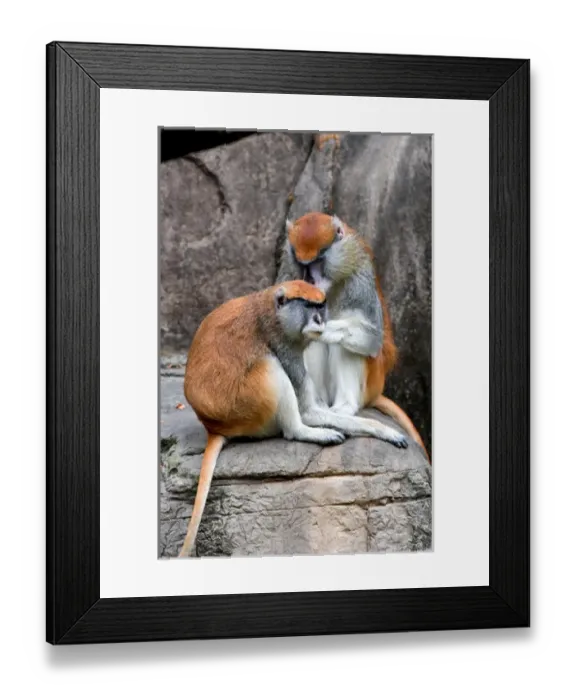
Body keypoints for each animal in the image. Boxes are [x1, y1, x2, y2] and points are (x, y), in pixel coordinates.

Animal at [177, 280, 408, 558]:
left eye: (320, 305)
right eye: (308, 306)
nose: (320, 319)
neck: (273, 312)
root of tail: (212, 425)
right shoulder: (283, 344)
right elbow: (308, 409)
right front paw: (383, 430)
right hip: (245, 407)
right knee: (270, 365)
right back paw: (305, 431)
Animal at [276, 211, 430, 462]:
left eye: (319, 261)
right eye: (302, 264)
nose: (309, 281)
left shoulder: (359, 277)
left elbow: (371, 338)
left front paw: (325, 329)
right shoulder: (289, 278)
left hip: (372, 379)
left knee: (345, 345)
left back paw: (343, 407)